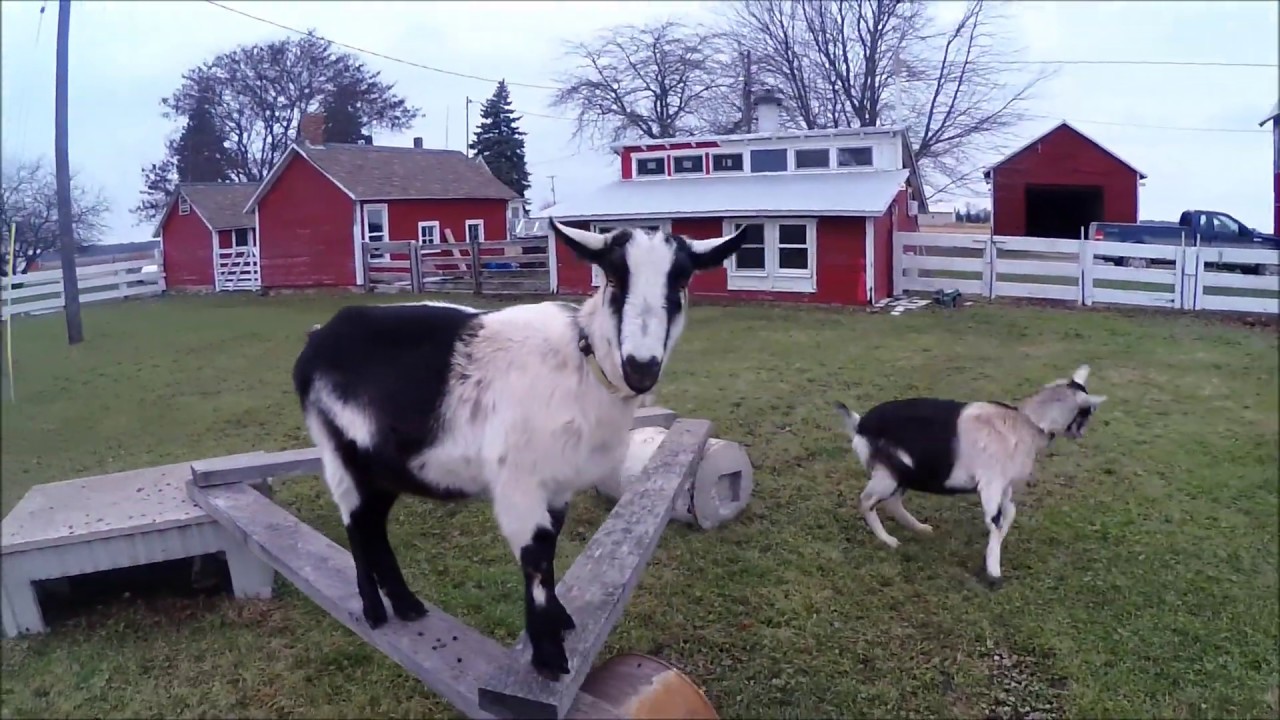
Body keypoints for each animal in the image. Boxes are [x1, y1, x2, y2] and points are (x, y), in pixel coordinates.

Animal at [292, 219, 747, 677]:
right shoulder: (519, 480)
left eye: (682, 281)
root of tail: (317, 339)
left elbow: (552, 545)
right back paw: (374, 609)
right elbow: (536, 554)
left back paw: (405, 605)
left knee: (373, 524)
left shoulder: (558, 482)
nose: (641, 367)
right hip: (340, 450)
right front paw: (548, 656)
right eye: (614, 279)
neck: (582, 365)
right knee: (355, 523)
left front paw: (558, 622)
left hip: (385, 465)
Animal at [832, 365, 1107, 585]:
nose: (1080, 433)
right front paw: (994, 571)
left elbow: (1009, 515)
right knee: (867, 501)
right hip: (888, 474)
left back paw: (919, 528)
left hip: (904, 473)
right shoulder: (991, 484)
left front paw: (997, 546)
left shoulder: (1005, 487)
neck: (1025, 423)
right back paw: (889, 540)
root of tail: (860, 424)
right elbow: (995, 520)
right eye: (1087, 412)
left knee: (892, 502)